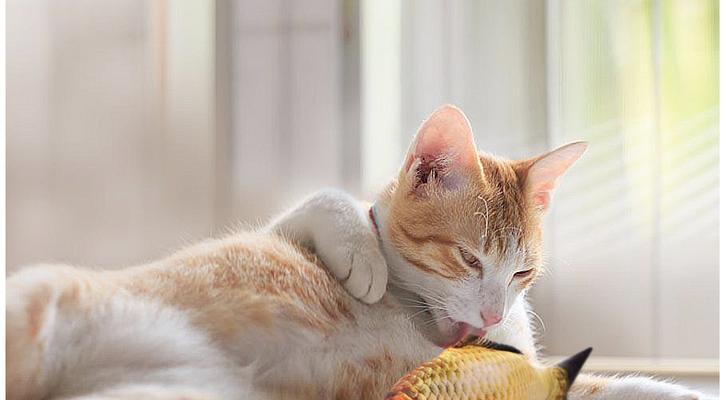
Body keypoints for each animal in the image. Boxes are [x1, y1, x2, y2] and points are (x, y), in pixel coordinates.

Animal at [8, 104, 708, 398]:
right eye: (468, 260)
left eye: (523, 272)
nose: (489, 315)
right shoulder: (284, 225)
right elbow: (332, 199)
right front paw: (363, 258)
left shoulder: (529, 378)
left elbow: (622, 386)